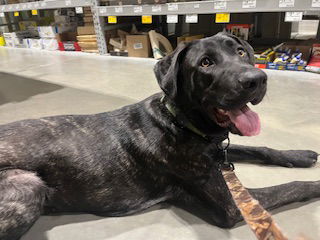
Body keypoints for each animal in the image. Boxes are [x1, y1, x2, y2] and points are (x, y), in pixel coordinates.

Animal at [0, 32, 318, 240]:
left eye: (240, 52)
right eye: (206, 63)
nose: (257, 79)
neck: (180, 120)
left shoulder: (218, 149)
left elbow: (261, 148)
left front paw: (299, 155)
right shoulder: (230, 205)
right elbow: (293, 186)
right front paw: (314, 183)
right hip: (27, 188)